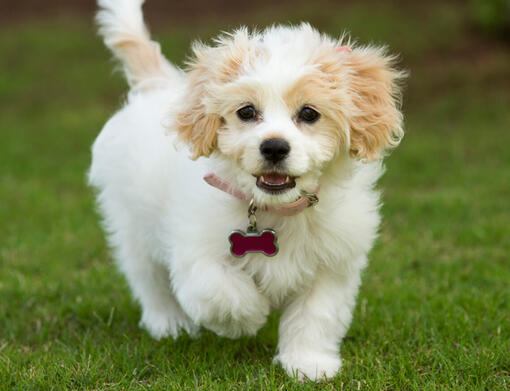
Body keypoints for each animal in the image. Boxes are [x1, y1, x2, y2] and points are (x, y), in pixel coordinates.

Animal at [88, 0, 406, 382]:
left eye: (309, 113)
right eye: (247, 111)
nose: (274, 147)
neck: (276, 209)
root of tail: (158, 86)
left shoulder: (332, 265)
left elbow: (316, 316)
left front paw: (308, 364)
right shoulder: (196, 252)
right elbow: (222, 293)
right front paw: (250, 317)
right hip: (133, 225)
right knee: (149, 280)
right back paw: (169, 323)